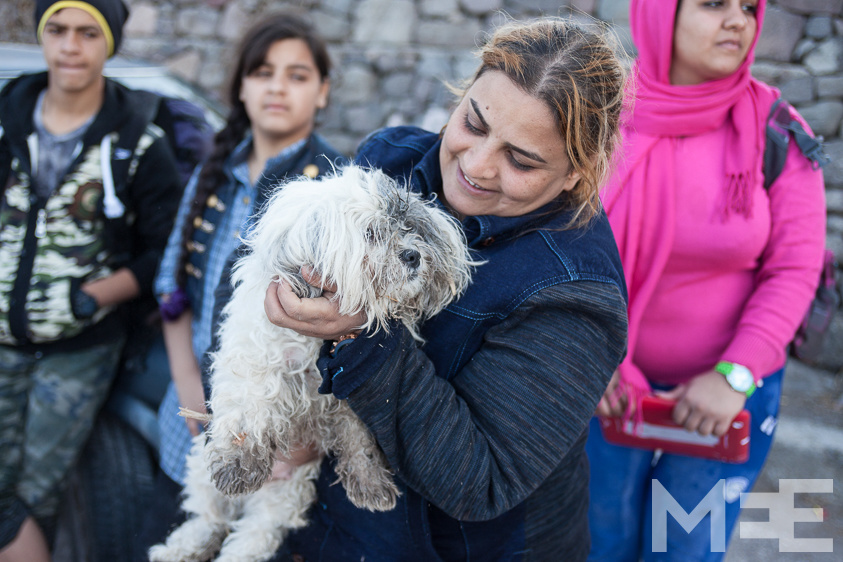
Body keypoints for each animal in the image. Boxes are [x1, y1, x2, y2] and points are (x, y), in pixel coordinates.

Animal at [149, 165, 475, 562]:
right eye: (371, 233)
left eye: (410, 226)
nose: (413, 255)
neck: (313, 349)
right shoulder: (256, 357)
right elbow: (251, 405)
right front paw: (239, 463)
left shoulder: (351, 395)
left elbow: (359, 439)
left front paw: (369, 483)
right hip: (202, 466)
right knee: (211, 517)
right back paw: (184, 545)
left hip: (286, 493)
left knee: (251, 536)